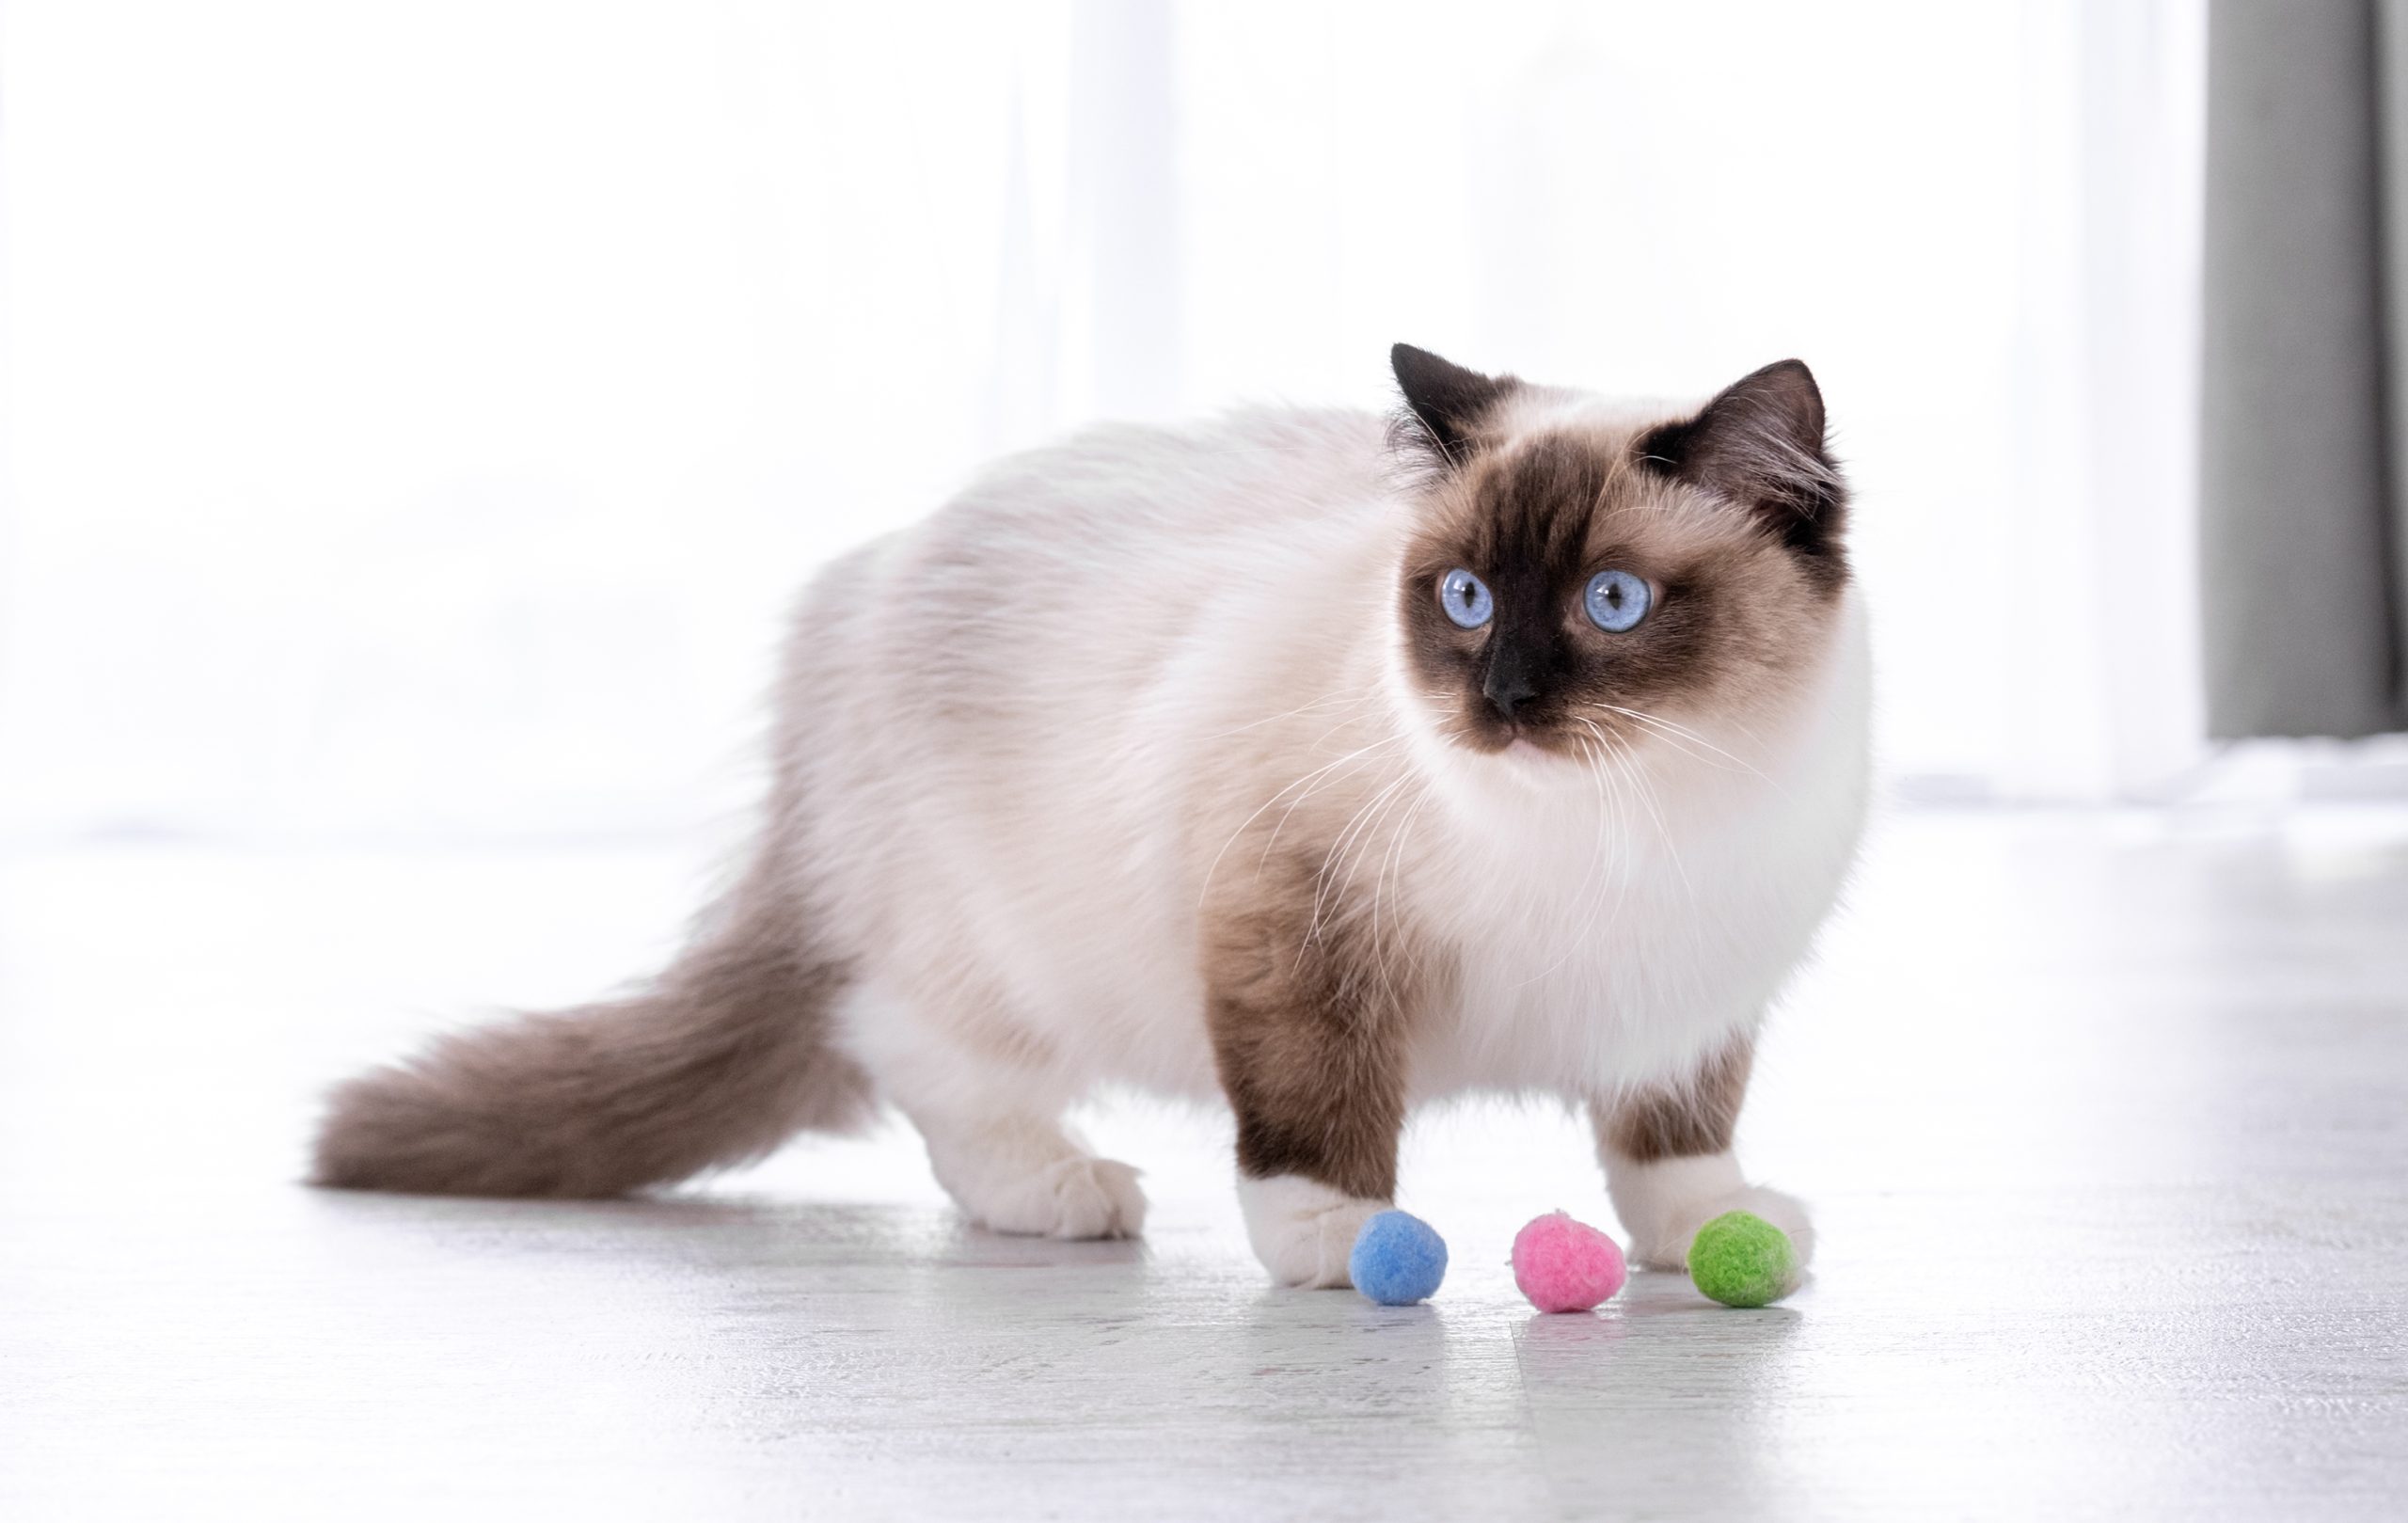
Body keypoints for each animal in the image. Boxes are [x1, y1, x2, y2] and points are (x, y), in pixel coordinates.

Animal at [310, 341, 1868, 1281]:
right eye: (1468, 597)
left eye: (1612, 601)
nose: (1501, 699)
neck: (1622, 819)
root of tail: (864, 584)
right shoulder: (1294, 920)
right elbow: (1314, 1102)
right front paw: (1337, 1237)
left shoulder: (1697, 984)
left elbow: (1674, 1132)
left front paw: (1710, 1229)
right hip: (1000, 949)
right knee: (906, 1043)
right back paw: (1058, 1190)